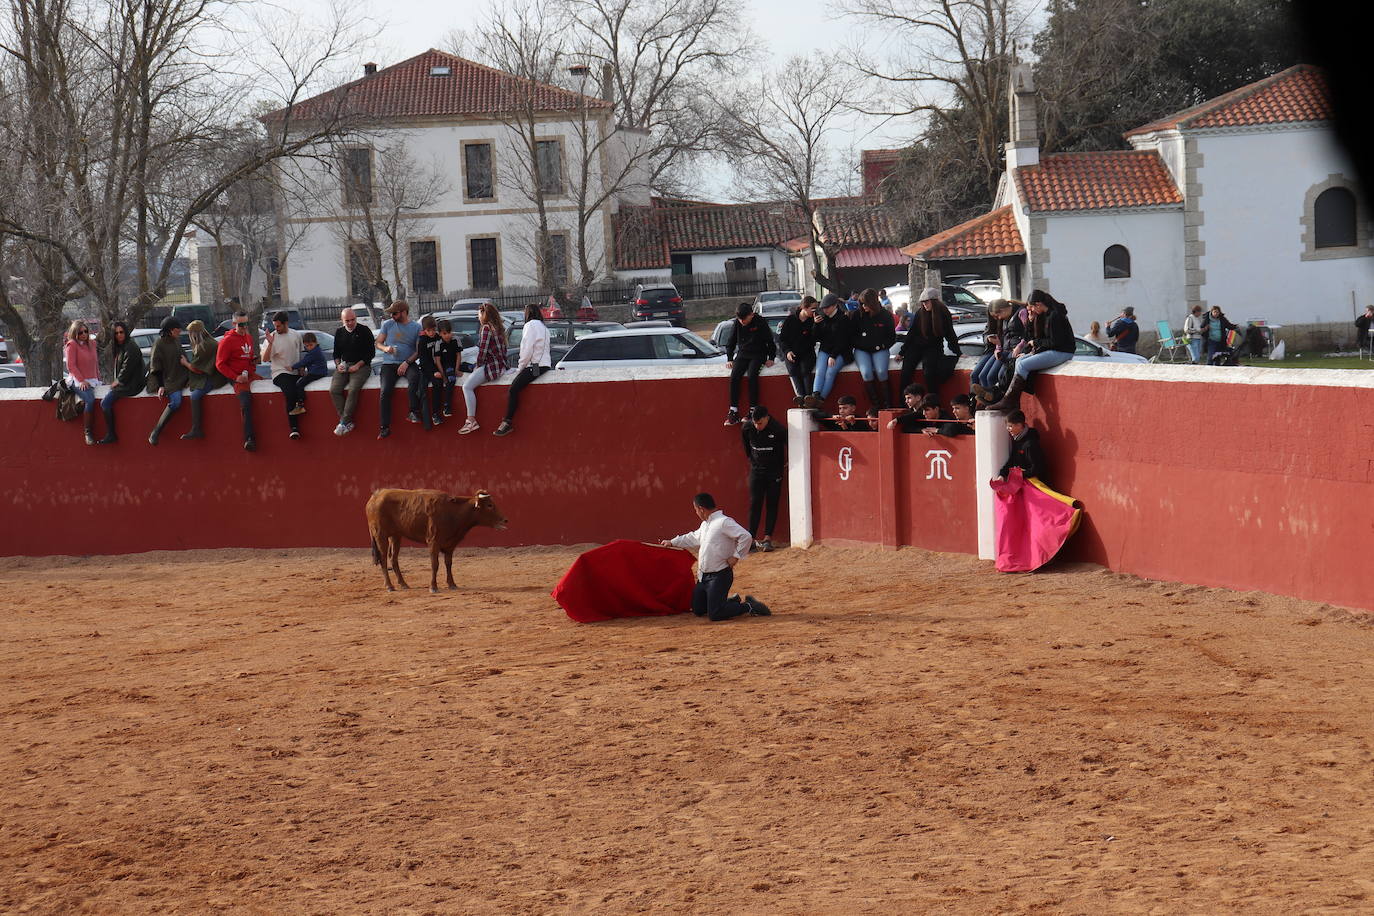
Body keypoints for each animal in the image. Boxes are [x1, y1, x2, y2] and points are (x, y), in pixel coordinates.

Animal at [365, 486, 511, 596]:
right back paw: (389, 586)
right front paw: (433, 587)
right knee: (383, 558)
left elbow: (448, 563)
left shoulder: (450, 544)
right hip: (380, 535)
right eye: (490, 505)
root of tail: (375, 497)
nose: (505, 520)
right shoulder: (433, 542)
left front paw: (452, 584)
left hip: (396, 536)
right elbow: (435, 564)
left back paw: (404, 584)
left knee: (393, 558)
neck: (453, 512)